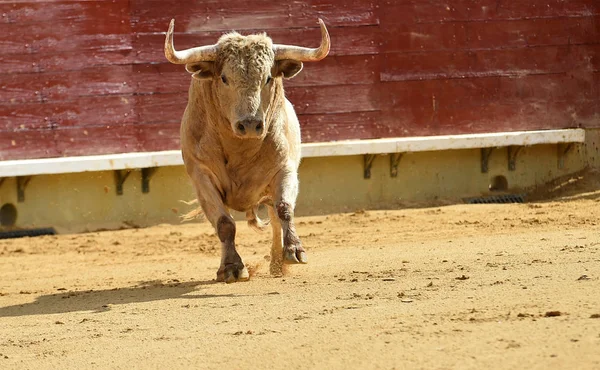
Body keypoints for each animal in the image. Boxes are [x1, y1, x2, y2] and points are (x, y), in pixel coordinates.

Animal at [164, 18, 330, 282]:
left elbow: (284, 209)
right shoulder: (202, 176)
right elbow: (224, 224)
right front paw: (232, 267)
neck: (240, 148)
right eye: (224, 78)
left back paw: (277, 263)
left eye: (268, 78)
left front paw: (295, 250)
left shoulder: (285, 169)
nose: (250, 124)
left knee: (274, 217)